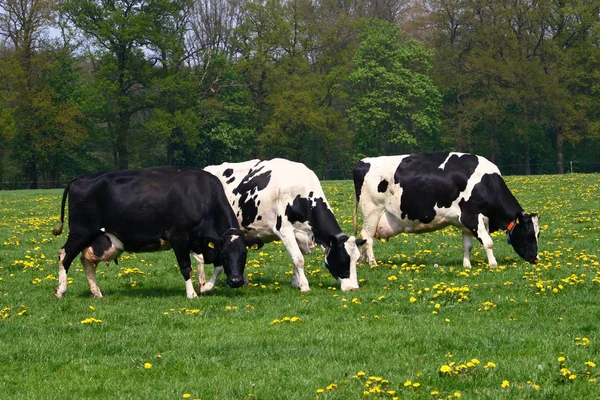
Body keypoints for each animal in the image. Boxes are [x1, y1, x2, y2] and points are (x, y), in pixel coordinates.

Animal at [53, 166, 262, 300]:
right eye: (226, 254)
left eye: (244, 254)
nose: (235, 281)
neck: (200, 195)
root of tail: (81, 178)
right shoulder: (178, 237)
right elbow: (186, 266)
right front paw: (192, 294)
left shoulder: (201, 241)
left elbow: (214, 265)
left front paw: (205, 288)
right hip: (81, 231)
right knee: (65, 255)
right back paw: (60, 291)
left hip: (96, 237)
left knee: (87, 261)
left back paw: (97, 293)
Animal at [199, 158, 366, 292]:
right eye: (343, 259)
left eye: (356, 259)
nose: (353, 288)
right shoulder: (284, 230)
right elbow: (299, 258)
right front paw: (304, 286)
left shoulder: (299, 233)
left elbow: (295, 259)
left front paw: (296, 283)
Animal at [354, 153, 540, 268]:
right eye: (529, 234)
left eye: (538, 234)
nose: (535, 258)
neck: (485, 183)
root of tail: (362, 162)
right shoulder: (472, 216)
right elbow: (488, 242)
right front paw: (493, 264)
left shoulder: (467, 221)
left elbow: (467, 245)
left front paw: (467, 265)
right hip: (372, 210)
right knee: (367, 236)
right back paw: (372, 262)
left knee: (363, 237)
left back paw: (362, 260)